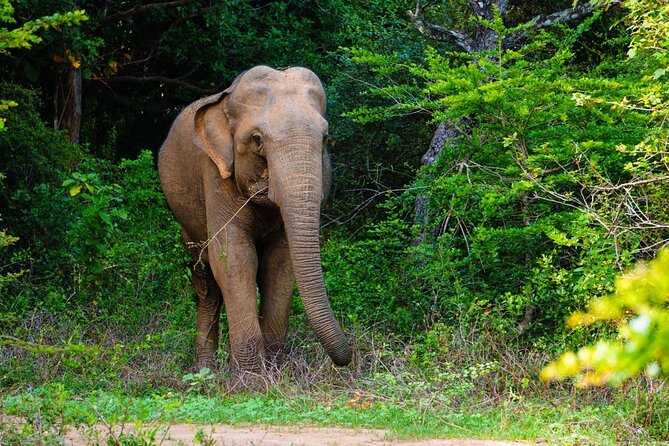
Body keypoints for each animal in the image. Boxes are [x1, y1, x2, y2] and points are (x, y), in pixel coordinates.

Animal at [158, 66, 352, 385]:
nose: (348, 357)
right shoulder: (215, 172)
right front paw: (252, 382)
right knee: (206, 283)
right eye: (257, 139)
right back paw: (204, 372)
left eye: (325, 137)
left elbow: (280, 263)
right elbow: (234, 259)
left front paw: (274, 373)